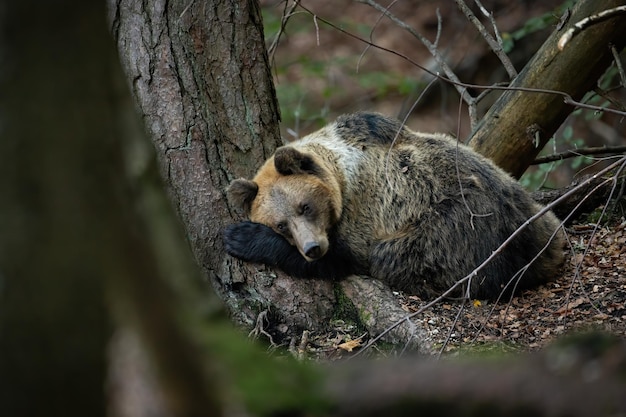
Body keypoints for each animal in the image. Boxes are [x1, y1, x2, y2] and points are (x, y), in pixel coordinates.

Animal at [222, 110, 564, 300]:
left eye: (304, 206)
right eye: (281, 224)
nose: (312, 248)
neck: (341, 175)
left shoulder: (366, 210)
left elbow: (345, 260)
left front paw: (241, 237)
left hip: (460, 230)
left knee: (395, 257)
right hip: (537, 216)